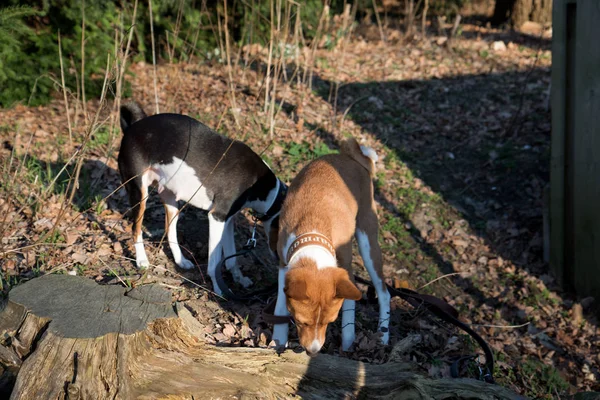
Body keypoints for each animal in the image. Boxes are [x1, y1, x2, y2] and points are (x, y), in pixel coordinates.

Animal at [118, 101, 288, 296]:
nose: (280, 262)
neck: (262, 185)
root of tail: (133, 127)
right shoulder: (217, 217)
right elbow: (214, 264)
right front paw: (219, 290)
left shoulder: (227, 220)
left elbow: (231, 258)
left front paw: (239, 279)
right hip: (140, 194)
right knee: (136, 229)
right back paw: (142, 261)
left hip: (171, 200)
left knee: (170, 230)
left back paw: (180, 261)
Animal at [270, 138, 392, 356]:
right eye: (301, 321)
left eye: (329, 321)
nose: (313, 351)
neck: (313, 229)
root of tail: (351, 158)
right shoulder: (284, 265)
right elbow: (280, 308)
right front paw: (278, 340)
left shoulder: (346, 271)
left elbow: (349, 311)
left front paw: (348, 344)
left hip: (368, 244)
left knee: (385, 293)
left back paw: (383, 335)